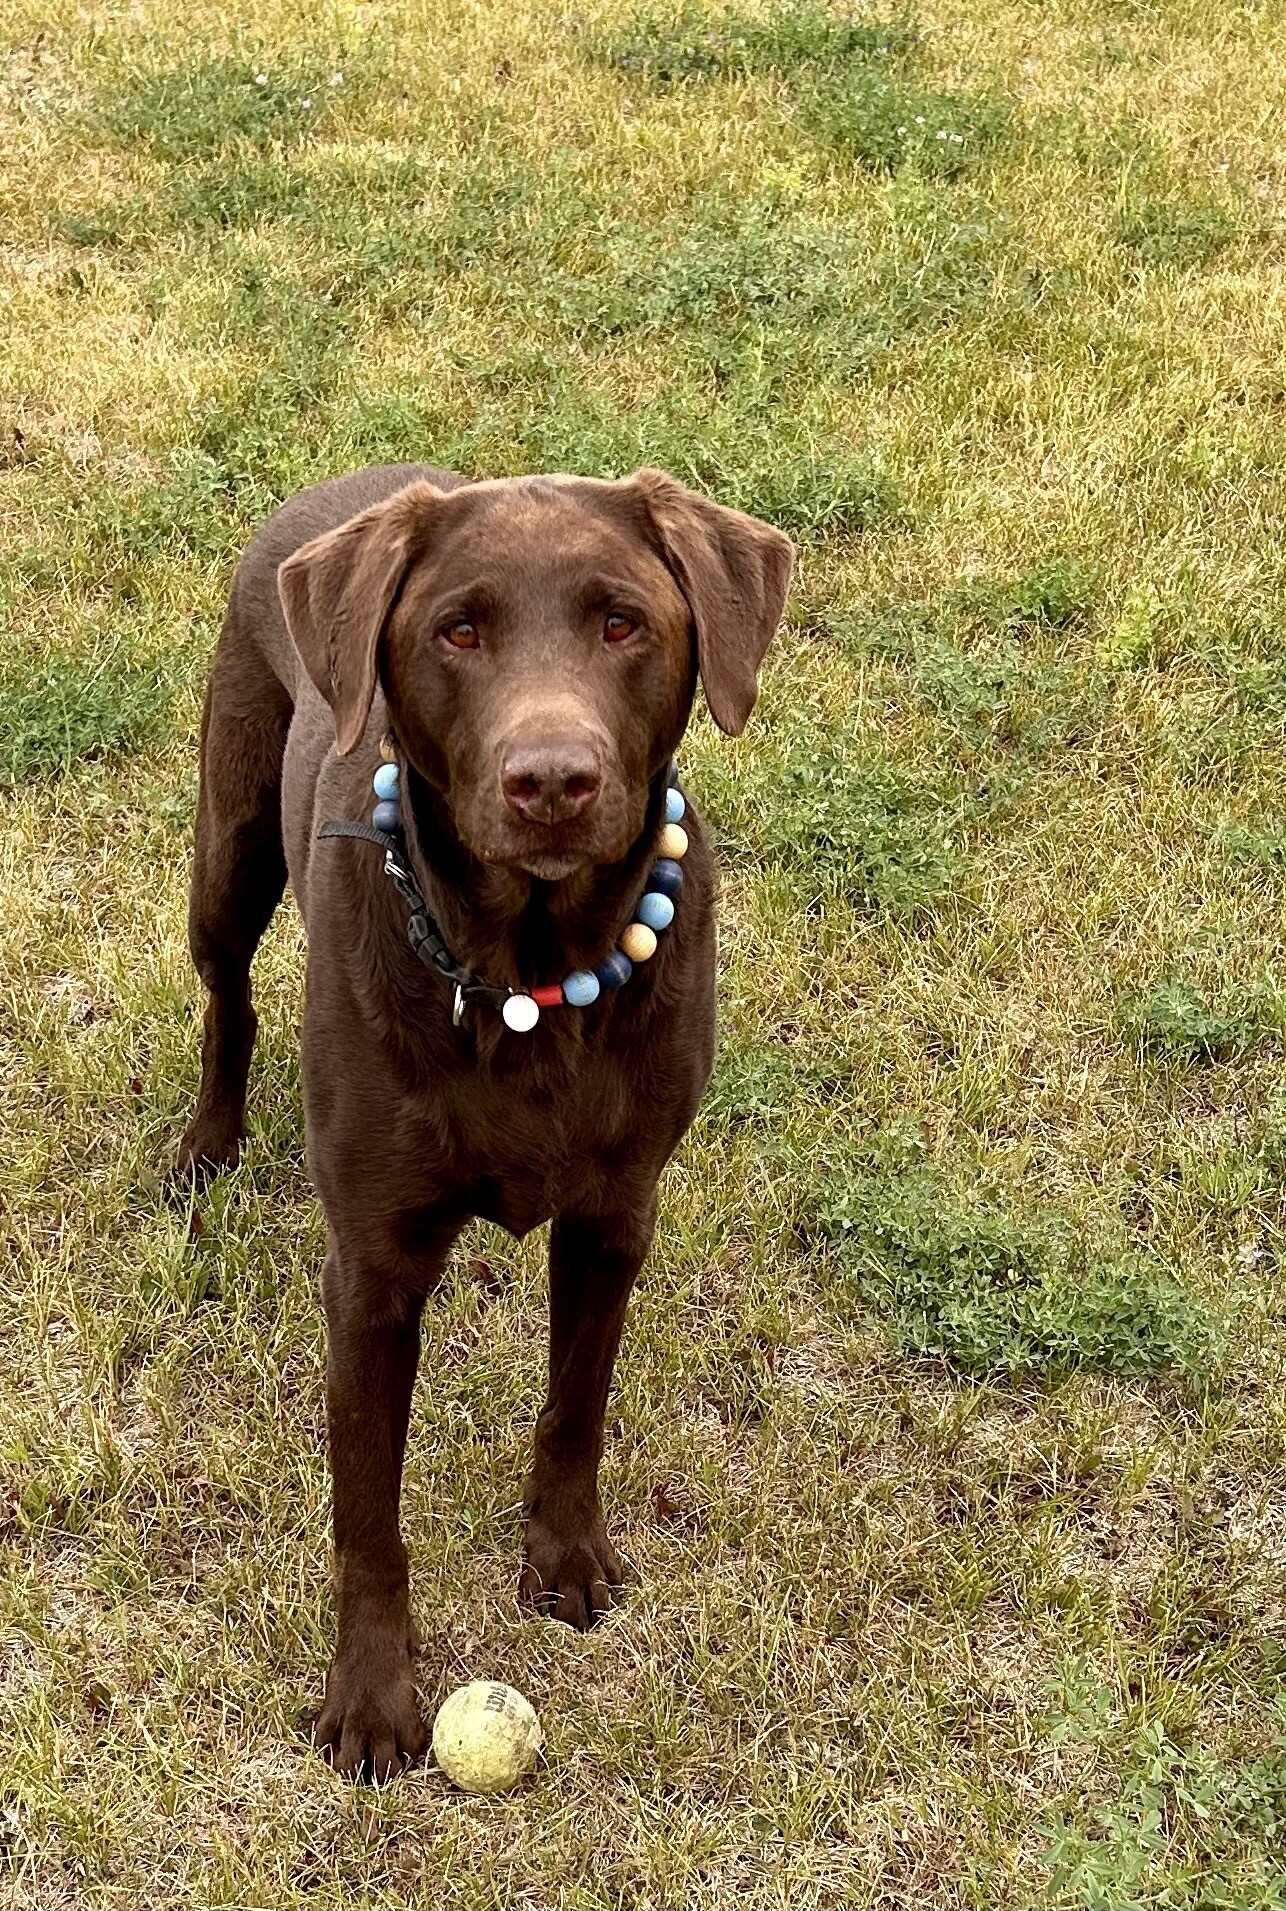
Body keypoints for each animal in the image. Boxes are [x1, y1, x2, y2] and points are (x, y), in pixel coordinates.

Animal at [177, 463, 793, 1779]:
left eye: (621, 623)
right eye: (456, 632)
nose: (550, 781)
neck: (527, 972)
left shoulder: (614, 1218)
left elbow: (573, 1408)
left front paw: (565, 1561)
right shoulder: (370, 1269)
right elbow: (367, 1512)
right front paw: (370, 1697)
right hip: (229, 845)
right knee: (226, 994)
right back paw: (205, 1147)